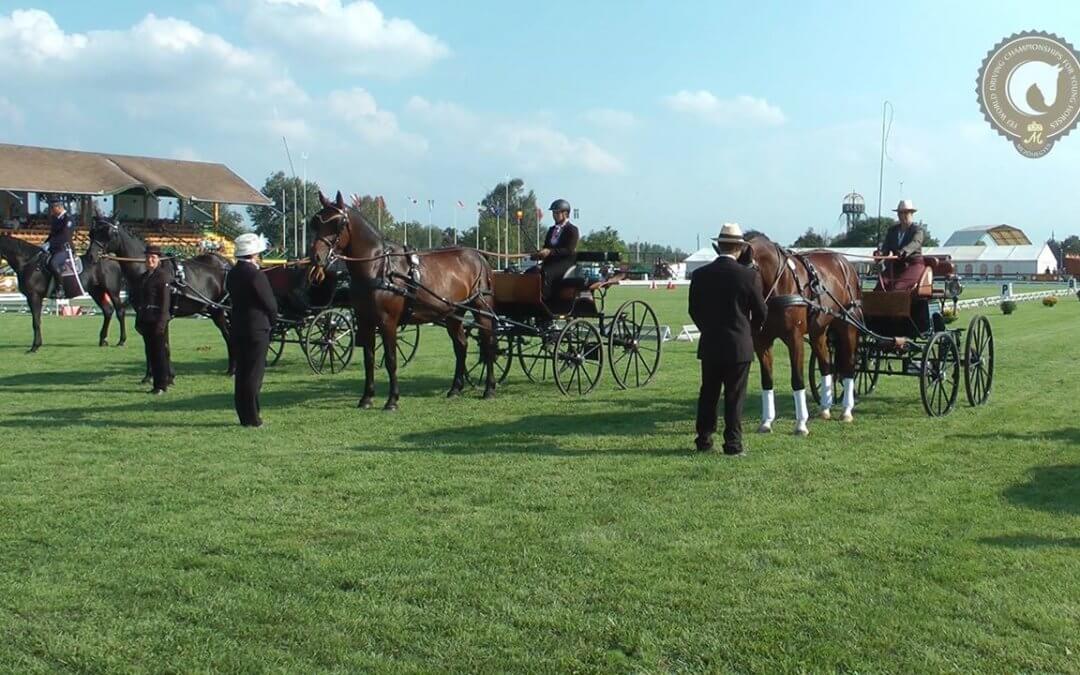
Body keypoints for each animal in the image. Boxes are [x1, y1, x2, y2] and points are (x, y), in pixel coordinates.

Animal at [0, 228, 129, 349]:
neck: (29, 263)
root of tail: (113, 260)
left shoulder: (34, 296)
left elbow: (36, 322)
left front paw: (35, 346)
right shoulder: (33, 297)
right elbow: (37, 320)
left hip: (113, 292)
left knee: (120, 311)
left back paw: (121, 341)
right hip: (97, 291)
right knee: (108, 311)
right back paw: (103, 340)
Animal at [87, 217, 235, 375]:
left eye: (108, 233)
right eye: (92, 233)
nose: (91, 256)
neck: (146, 271)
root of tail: (226, 263)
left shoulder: (162, 316)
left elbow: (162, 346)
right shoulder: (144, 314)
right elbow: (151, 347)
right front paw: (152, 375)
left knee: (229, 335)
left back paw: (232, 370)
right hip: (215, 310)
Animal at [308, 191, 496, 410]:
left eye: (337, 223)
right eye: (316, 222)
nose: (315, 256)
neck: (378, 268)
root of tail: (479, 256)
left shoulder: (388, 322)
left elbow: (391, 360)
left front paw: (392, 400)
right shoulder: (365, 321)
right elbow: (369, 359)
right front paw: (366, 398)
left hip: (482, 311)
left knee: (488, 345)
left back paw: (489, 389)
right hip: (453, 313)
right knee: (461, 346)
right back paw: (455, 389)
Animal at [738, 233, 864, 432]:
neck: (780, 283)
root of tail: (846, 264)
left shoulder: (794, 338)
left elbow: (797, 380)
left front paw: (801, 424)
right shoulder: (761, 341)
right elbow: (767, 381)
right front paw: (766, 422)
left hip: (847, 327)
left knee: (849, 367)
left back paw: (846, 410)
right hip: (818, 332)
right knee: (827, 365)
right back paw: (825, 408)